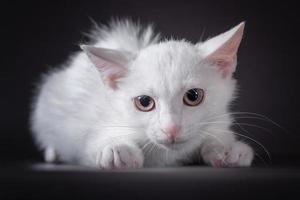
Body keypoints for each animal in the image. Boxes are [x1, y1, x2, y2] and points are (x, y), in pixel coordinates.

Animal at [31, 19, 253, 169]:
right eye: (144, 102)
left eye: (193, 96)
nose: (171, 129)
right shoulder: (97, 127)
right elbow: (92, 144)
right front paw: (117, 150)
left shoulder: (218, 120)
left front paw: (227, 148)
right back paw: (52, 153)